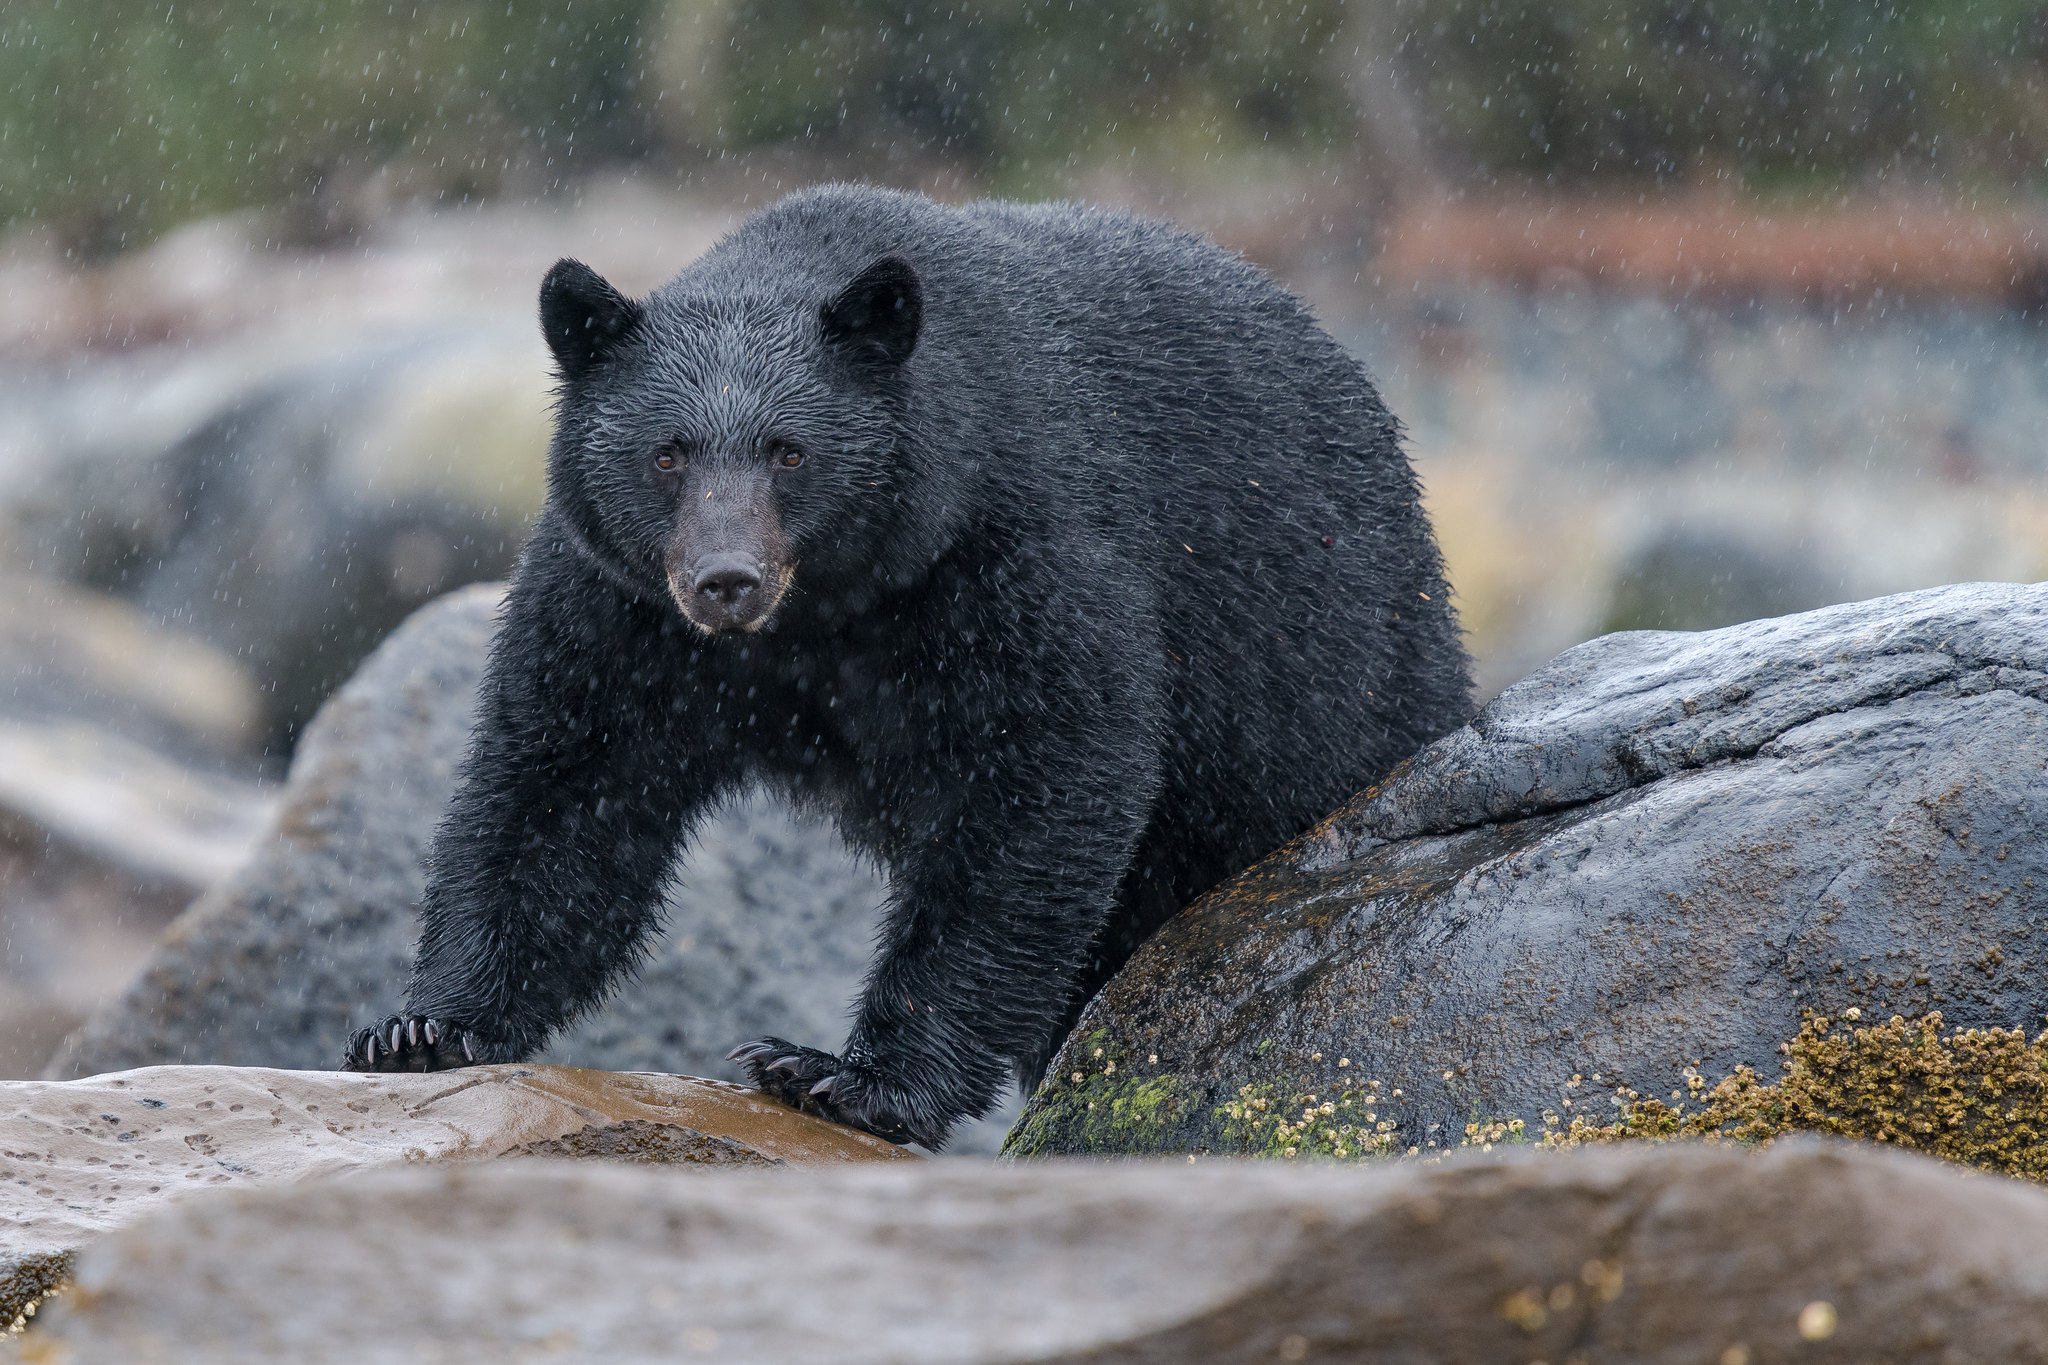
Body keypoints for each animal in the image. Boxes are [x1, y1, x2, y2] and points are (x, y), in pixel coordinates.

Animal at [348, 179, 1474, 1146]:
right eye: (665, 453)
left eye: (788, 451)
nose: (724, 581)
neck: (824, 614)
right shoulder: (620, 605)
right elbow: (567, 782)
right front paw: (426, 1026)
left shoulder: (1014, 546)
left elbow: (1042, 780)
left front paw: (845, 1075)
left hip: (1330, 673)